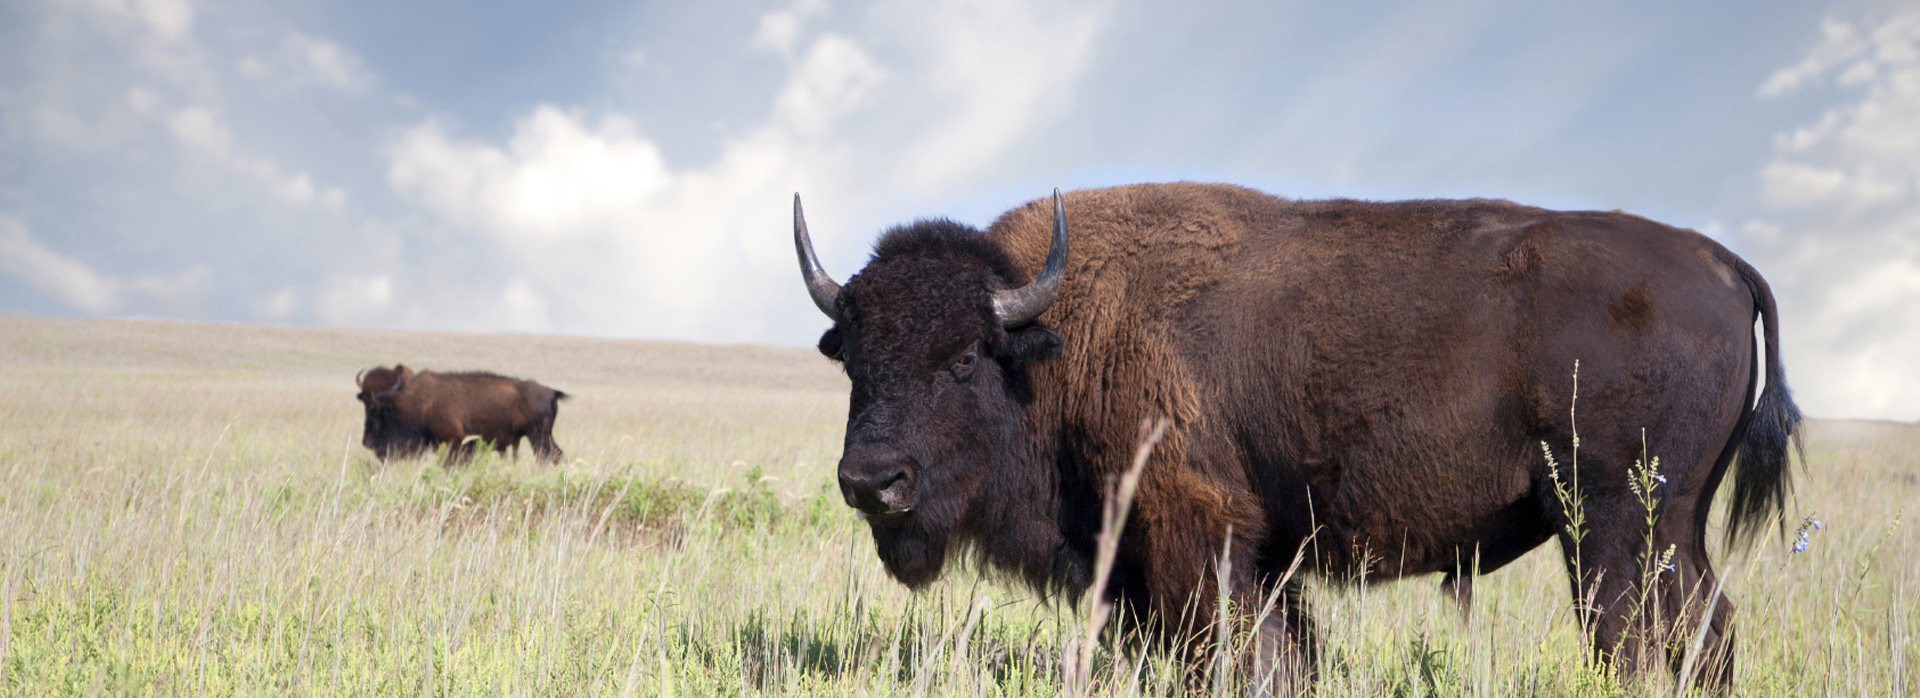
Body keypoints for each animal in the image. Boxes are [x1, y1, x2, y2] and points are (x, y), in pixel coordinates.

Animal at [354, 364, 568, 466]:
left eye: (375, 411)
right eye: (364, 404)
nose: (367, 442)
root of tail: (550, 392)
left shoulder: (456, 441)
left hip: (537, 436)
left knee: (544, 457)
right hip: (545, 436)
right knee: (557, 455)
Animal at [793, 182, 1798, 690]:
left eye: (965, 356)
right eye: (853, 360)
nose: (872, 481)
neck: (1053, 337)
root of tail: (1721, 260)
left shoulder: (1195, 534)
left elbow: (1237, 651)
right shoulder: (1246, 555)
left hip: (1614, 523)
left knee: (1636, 638)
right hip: (1675, 529)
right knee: (1708, 631)